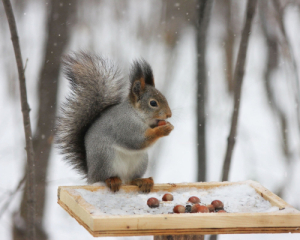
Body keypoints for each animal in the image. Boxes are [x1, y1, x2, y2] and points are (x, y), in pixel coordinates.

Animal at [56, 51, 173, 192]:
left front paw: (167, 125)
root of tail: (91, 176)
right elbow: (137, 140)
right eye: (153, 103)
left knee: (131, 179)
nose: (169, 114)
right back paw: (112, 180)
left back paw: (142, 181)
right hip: (106, 159)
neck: (137, 115)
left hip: (140, 162)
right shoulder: (124, 125)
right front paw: (163, 129)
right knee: (105, 177)